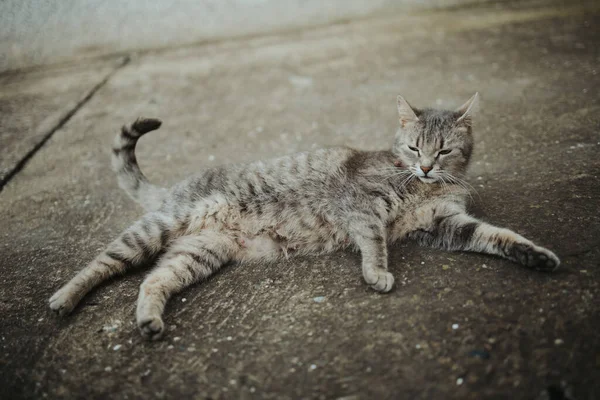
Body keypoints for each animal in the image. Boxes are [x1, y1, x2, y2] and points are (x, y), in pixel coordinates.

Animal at [49, 94, 560, 340]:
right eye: (416, 148)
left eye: (445, 150)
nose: (427, 167)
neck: (424, 185)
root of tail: (175, 187)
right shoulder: (361, 205)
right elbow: (375, 241)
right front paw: (377, 273)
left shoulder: (444, 223)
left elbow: (497, 236)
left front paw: (535, 255)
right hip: (157, 228)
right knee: (101, 263)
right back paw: (65, 298)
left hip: (199, 253)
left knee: (153, 280)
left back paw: (150, 321)